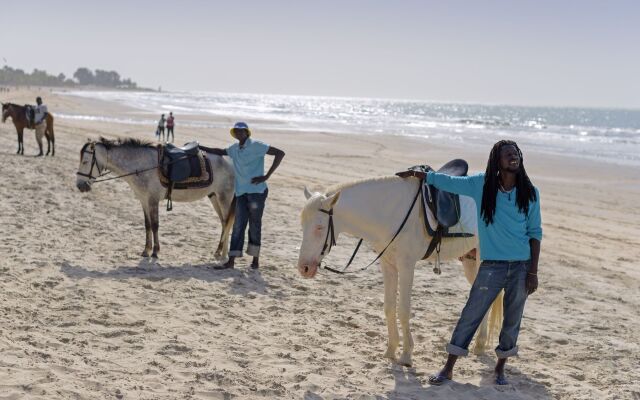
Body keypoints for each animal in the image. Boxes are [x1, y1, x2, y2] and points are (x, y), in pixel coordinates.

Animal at [75, 138, 235, 260]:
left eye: (85, 162)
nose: (80, 185)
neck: (142, 165)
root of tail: (230, 161)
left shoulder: (153, 200)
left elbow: (155, 225)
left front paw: (155, 251)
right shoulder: (144, 201)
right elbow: (147, 225)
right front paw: (146, 250)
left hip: (224, 197)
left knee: (227, 222)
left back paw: (223, 254)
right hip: (214, 197)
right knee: (223, 222)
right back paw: (218, 251)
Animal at [298, 175, 502, 366]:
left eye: (319, 227)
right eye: (302, 226)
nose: (304, 268)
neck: (390, 212)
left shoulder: (406, 266)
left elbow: (403, 310)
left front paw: (406, 354)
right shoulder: (387, 264)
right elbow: (389, 307)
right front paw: (391, 350)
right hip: (471, 261)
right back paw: (479, 344)